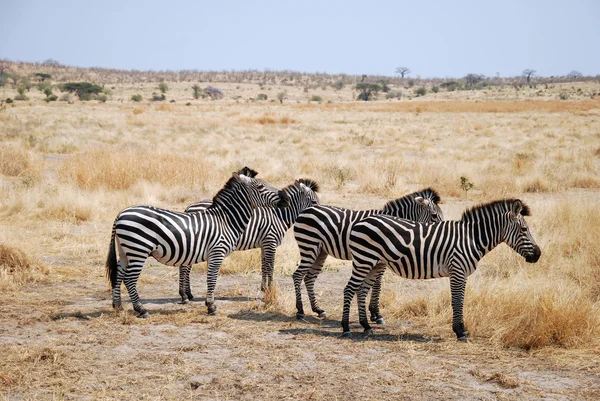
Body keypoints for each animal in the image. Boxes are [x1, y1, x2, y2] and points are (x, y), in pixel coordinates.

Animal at [105, 169, 288, 316]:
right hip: (138, 249)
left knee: (119, 274)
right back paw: (141, 309)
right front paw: (211, 307)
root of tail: (121, 214)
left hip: (125, 250)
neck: (225, 220)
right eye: (260, 186)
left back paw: (118, 307)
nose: (285, 197)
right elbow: (212, 279)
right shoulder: (217, 252)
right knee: (129, 279)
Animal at [178, 175, 318, 300]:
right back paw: (184, 295)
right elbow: (271, 266)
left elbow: (264, 266)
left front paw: (264, 288)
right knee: (185, 267)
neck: (279, 216)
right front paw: (270, 289)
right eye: (314, 202)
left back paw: (188, 294)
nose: (319, 212)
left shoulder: (264, 244)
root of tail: (190, 206)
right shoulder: (270, 242)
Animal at [292, 188, 442, 322]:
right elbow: (377, 284)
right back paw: (300, 310)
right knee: (298, 275)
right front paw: (376, 314)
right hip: (309, 246)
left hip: (320, 251)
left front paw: (373, 313)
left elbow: (375, 283)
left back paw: (318, 309)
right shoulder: (380, 258)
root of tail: (306, 210)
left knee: (309, 277)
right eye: (434, 215)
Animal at [344, 198, 540, 340]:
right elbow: (457, 301)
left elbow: (461, 300)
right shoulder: (457, 271)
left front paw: (462, 329)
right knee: (349, 289)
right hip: (364, 260)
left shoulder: (462, 273)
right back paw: (346, 327)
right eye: (524, 229)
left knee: (361, 290)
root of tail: (362, 221)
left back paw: (366, 326)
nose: (538, 254)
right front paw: (459, 332)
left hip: (374, 263)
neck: (471, 238)